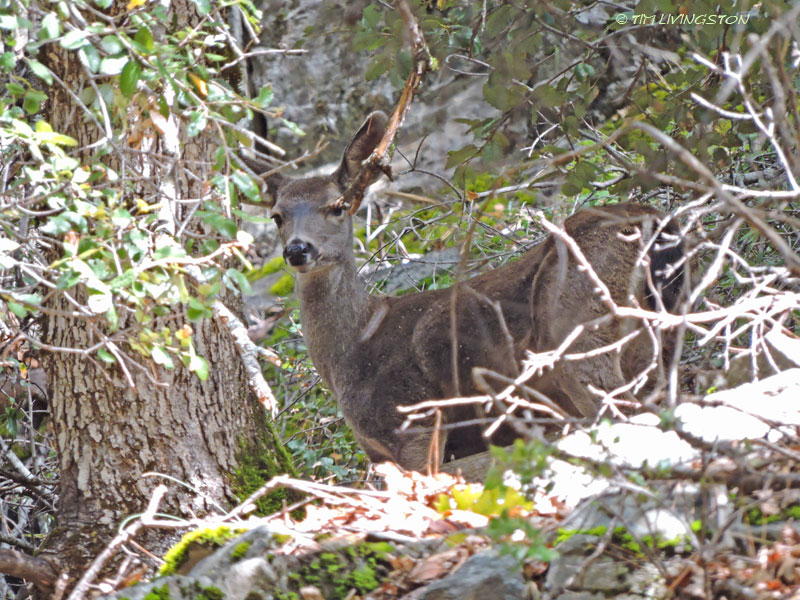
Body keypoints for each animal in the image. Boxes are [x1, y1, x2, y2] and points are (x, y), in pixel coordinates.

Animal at [253, 111, 683, 471]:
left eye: (338, 206)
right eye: (277, 216)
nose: (298, 249)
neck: (354, 347)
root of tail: (652, 219)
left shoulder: (414, 418)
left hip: (574, 331)